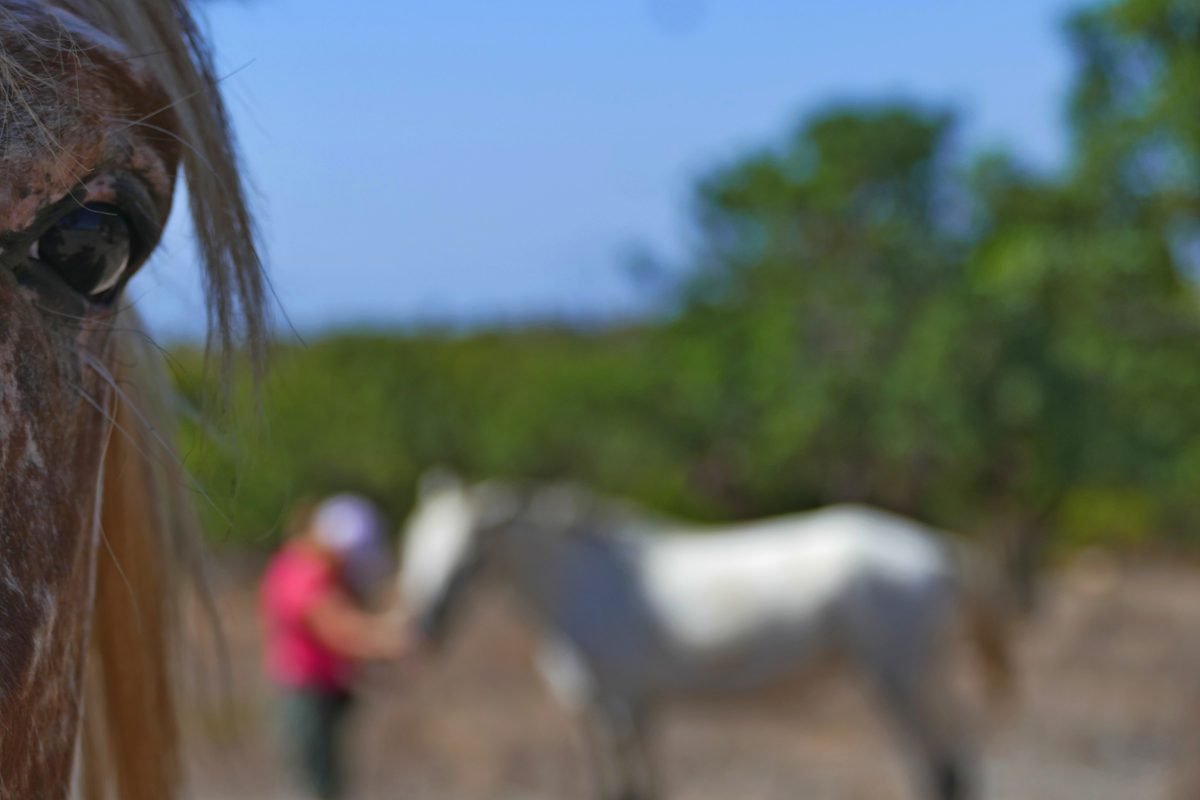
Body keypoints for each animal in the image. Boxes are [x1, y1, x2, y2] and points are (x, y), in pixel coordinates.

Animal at [400, 473, 1014, 800]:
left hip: (900, 683)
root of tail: (938, 549)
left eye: (472, 555)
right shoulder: (611, 709)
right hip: (924, 677)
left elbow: (632, 789)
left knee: (941, 768)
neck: (580, 585)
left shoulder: (621, 704)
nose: (423, 624)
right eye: (416, 539)